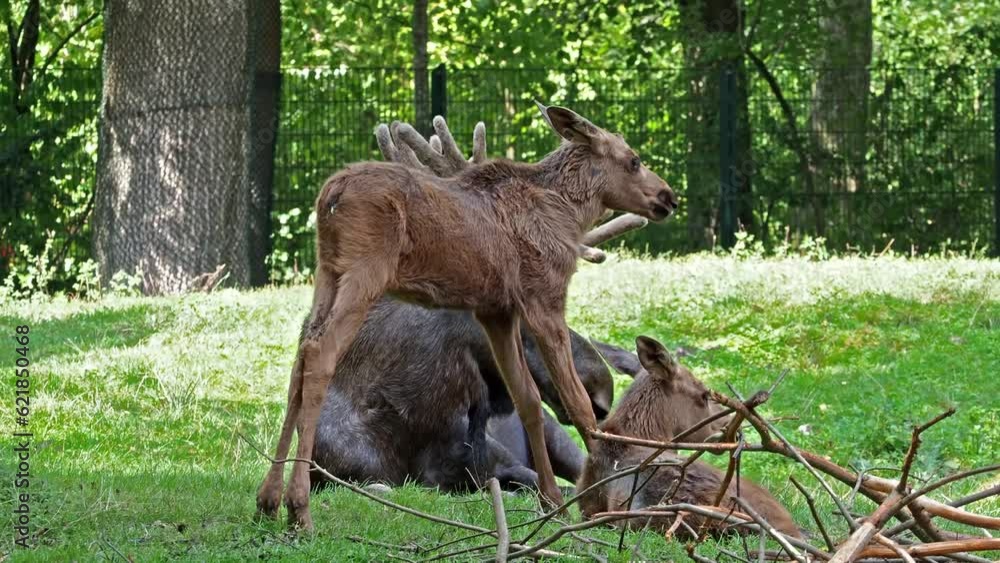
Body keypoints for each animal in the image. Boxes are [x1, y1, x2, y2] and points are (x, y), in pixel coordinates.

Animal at [256, 101, 678, 530]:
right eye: (633, 160)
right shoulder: (544, 298)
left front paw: (553, 502)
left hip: (328, 272)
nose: (668, 196)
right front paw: (596, 499)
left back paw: (268, 500)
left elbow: (528, 402)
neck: (569, 212)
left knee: (300, 355)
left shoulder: (496, 312)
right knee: (320, 353)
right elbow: (577, 405)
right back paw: (299, 507)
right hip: (365, 272)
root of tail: (331, 194)